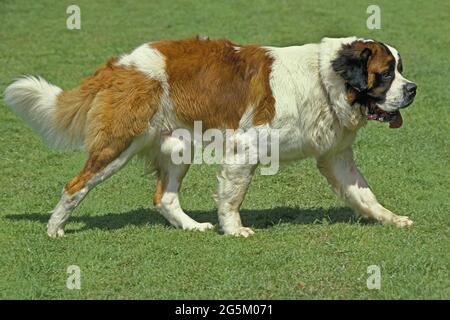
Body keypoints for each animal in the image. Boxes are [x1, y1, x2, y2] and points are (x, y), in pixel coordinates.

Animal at [4, 37, 418, 238]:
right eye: (385, 74)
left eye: (400, 69)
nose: (413, 88)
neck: (324, 79)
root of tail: (121, 65)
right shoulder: (245, 148)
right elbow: (232, 197)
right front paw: (234, 230)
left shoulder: (336, 156)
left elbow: (364, 193)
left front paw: (391, 219)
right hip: (118, 146)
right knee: (76, 184)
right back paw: (55, 228)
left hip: (178, 146)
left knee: (164, 197)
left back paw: (191, 227)